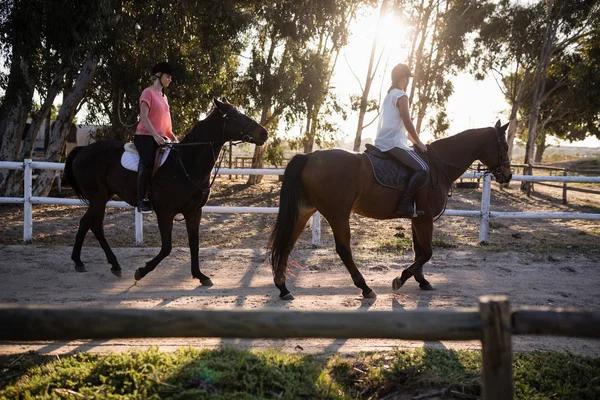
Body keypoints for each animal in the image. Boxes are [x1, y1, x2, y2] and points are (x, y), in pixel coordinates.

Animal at [63, 97, 268, 284]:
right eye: (234, 116)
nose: (264, 133)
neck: (186, 162)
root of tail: (82, 150)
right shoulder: (165, 212)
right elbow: (167, 247)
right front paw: (141, 271)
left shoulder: (194, 211)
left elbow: (194, 243)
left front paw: (200, 275)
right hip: (98, 198)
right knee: (96, 226)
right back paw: (114, 264)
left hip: (102, 197)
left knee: (85, 222)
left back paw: (79, 261)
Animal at [270, 120, 510, 298]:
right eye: (505, 146)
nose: (507, 176)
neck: (437, 166)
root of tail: (309, 157)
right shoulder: (425, 220)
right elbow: (427, 252)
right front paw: (401, 278)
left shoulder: (417, 218)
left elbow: (419, 250)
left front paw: (422, 280)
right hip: (338, 214)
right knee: (343, 250)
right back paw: (365, 287)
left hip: (304, 212)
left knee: (287, 244)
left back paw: (283, 288)